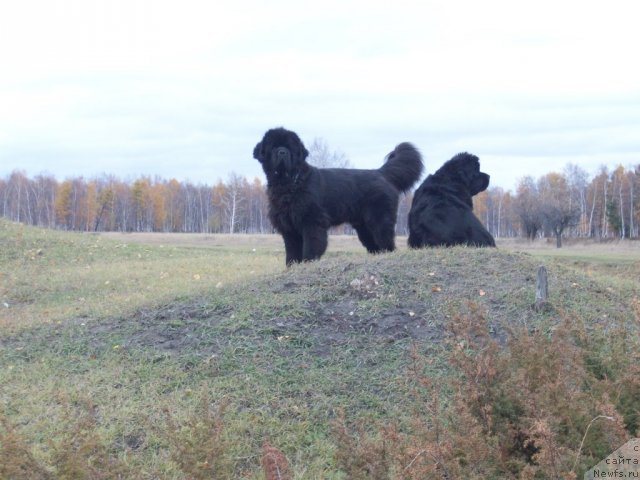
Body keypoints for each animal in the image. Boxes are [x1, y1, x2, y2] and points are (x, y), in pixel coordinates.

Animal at [252, 127, 422, 266]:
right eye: (273, 146)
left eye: (290, 147)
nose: (282, 152)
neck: (290, 184)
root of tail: (381, 172)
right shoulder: (289, 227)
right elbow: (292, 252)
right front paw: (292, 267)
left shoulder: (312, 222)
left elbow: (311, 246)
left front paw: (308, 262)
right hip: (364, 227)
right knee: (375, 246)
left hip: (380, 220)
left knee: (386, 242)